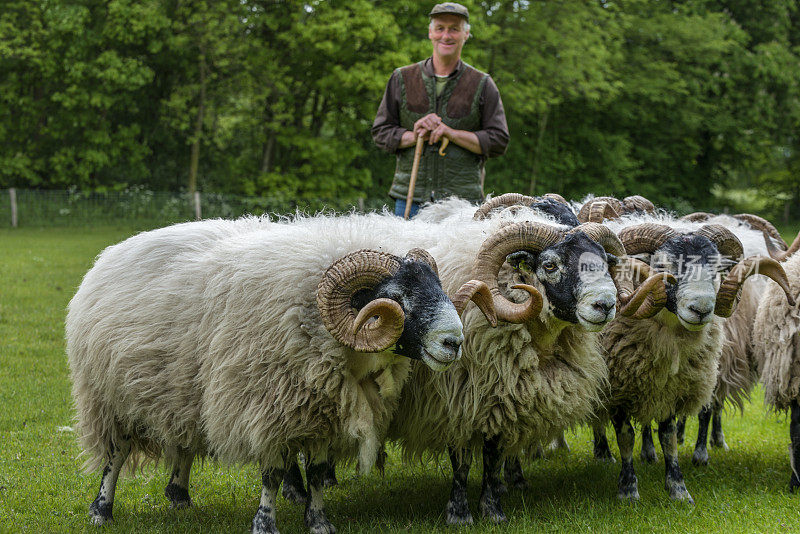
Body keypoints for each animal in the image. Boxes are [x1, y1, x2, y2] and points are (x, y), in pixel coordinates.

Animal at [588, 220, 792, 504]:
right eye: (663, 267)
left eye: (716, 269)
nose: (701, 310)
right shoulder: (616, 391)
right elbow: (626, 437)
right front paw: (628, 489)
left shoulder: (670, 389)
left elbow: (669, 437)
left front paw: (678, 489)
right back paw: (604, 454)